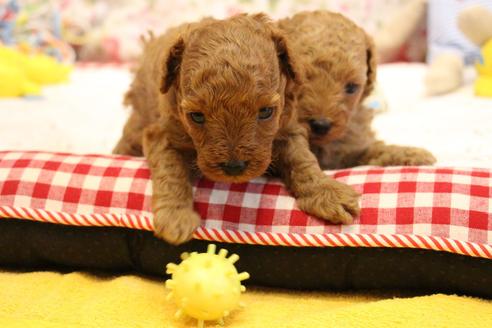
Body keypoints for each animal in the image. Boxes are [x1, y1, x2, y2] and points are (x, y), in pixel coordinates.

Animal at [115, 14, 362, 245]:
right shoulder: (162, 133)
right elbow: (170, 171)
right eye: (196, 116)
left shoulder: (288, 128)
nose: (234, 168)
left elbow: (302, 160)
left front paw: (326, 192)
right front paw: (176, 217)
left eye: (266, 112)